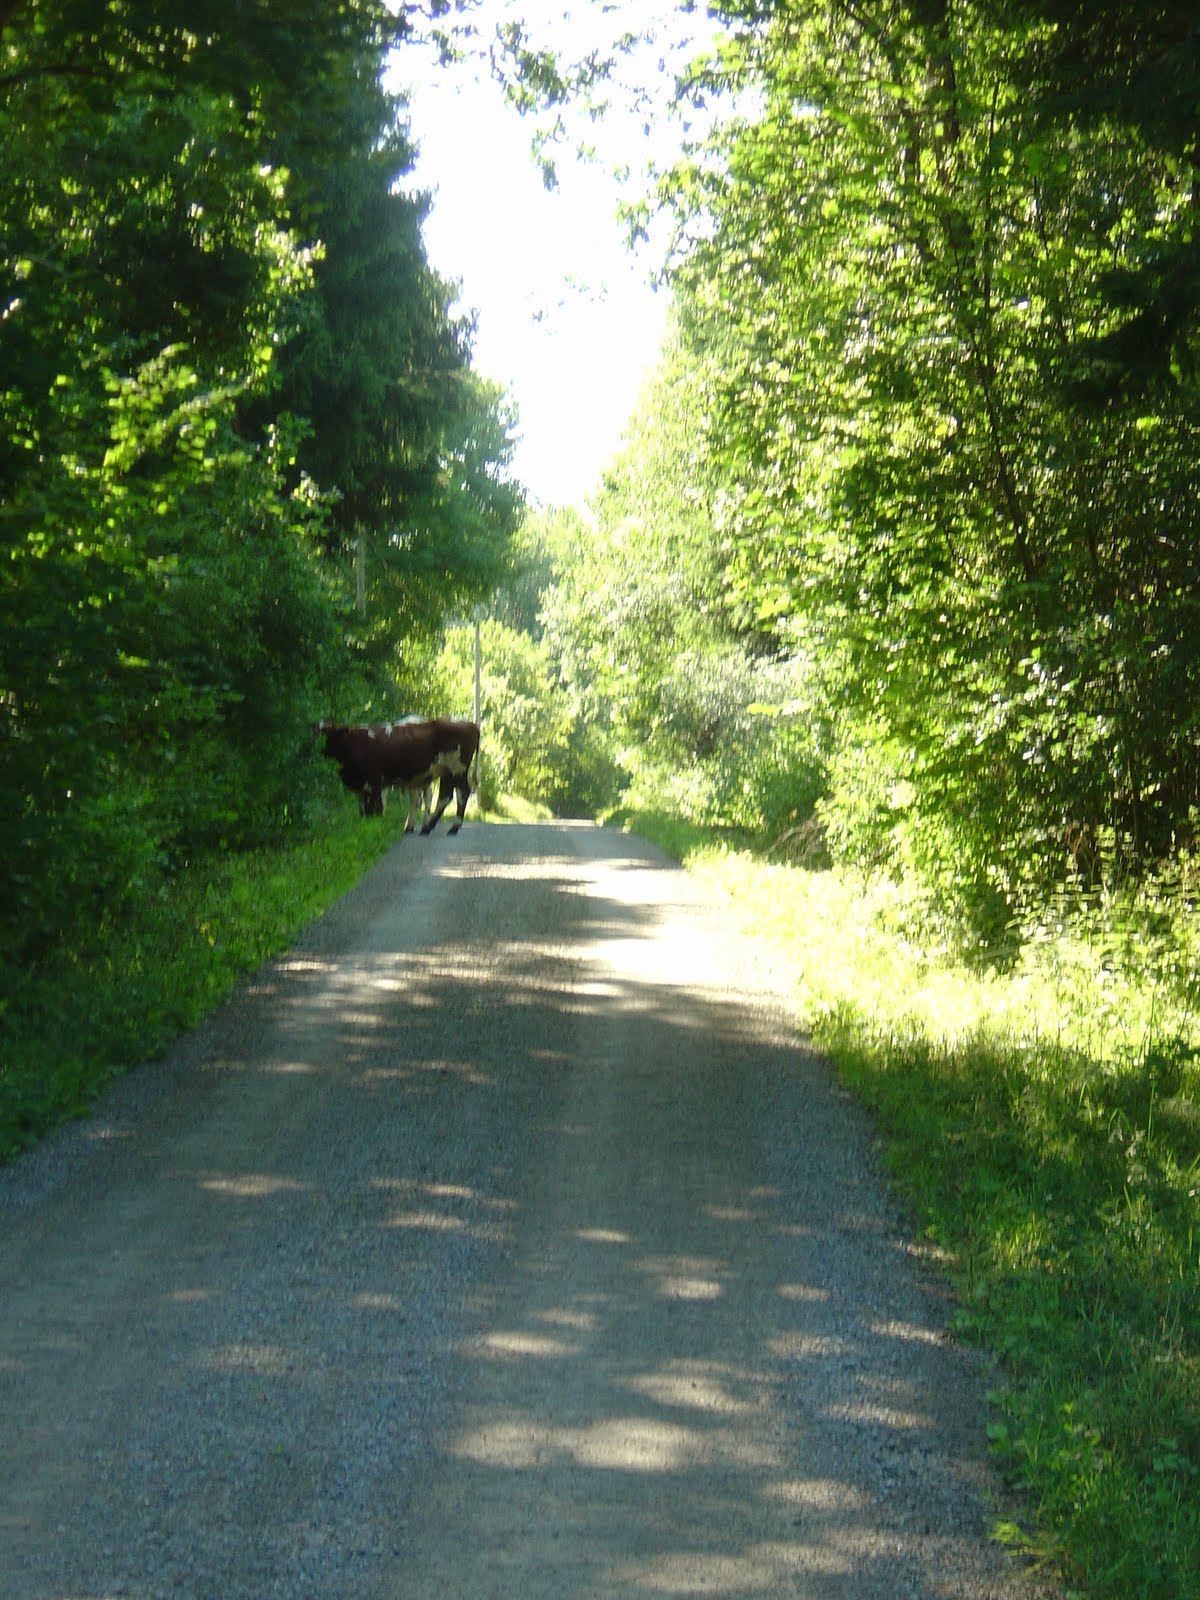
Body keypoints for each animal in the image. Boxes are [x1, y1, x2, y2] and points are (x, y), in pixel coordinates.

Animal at [319, 717, 480, 835]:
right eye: (324, 734)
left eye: (334, 736)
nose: (323, 752)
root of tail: (470, 724)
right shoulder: (363, 787)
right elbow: (364, 809)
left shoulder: (375, 782)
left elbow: (374, 807)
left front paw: (373, 826)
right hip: (447, 772)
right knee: (445, 796)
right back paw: (428, 827)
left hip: (457, 769)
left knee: (461, 793)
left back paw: (452, 827)